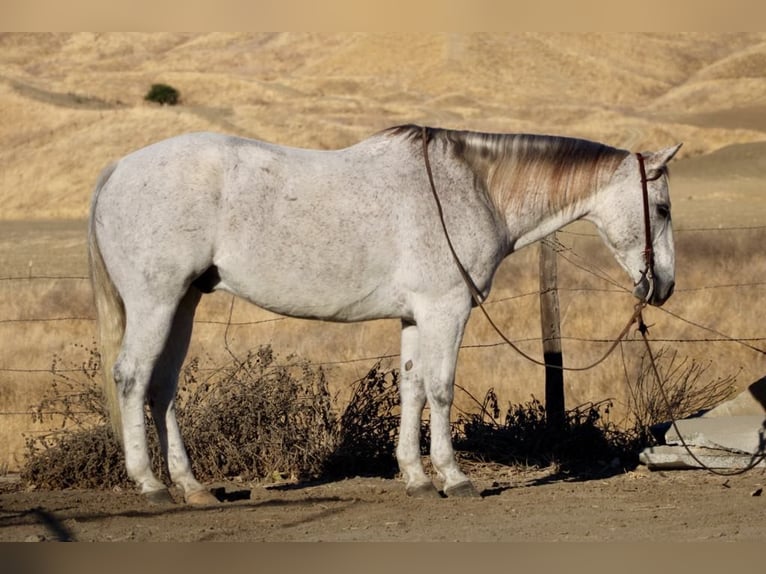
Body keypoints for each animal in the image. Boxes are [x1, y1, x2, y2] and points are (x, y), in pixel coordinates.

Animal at [88, 126, 684, 504]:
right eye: (662, 208)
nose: (664, 286)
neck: (474, 189)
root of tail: (118, 169)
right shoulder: (446, 309)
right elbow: (441, 389)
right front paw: (454, 478)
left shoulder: (417, 316)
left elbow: (412, 388)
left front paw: (416, 477)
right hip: (155, 302)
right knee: (133, 378)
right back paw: (151, 486)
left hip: (183, 302)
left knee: (162, 388)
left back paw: (193, 489)